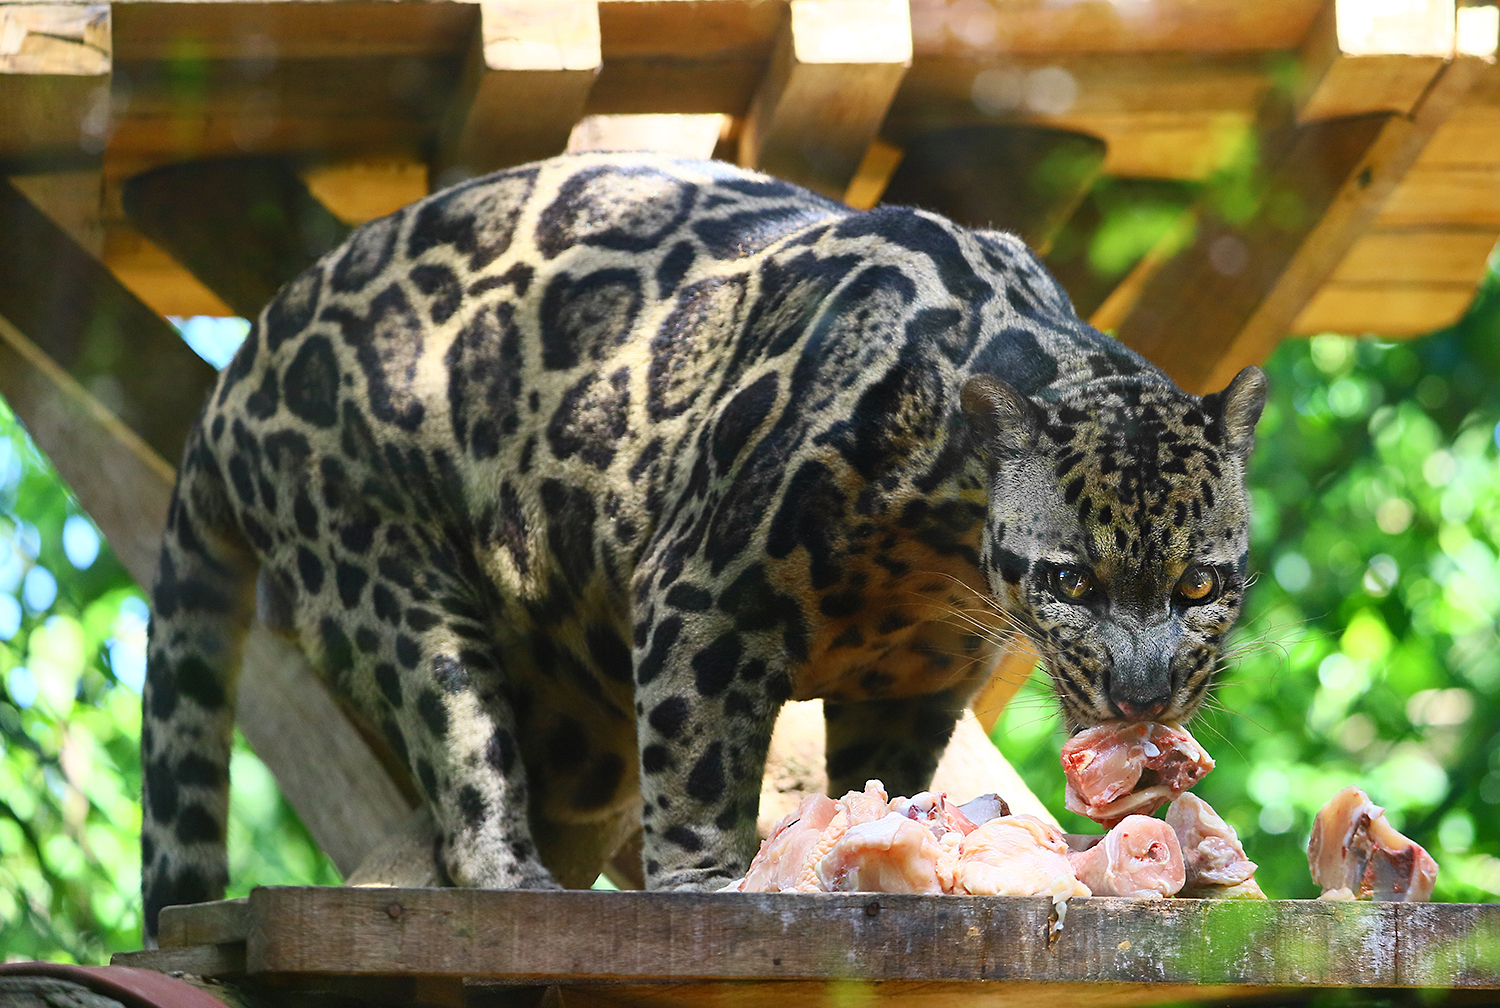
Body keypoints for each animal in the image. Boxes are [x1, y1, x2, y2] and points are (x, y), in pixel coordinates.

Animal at [140, 151, 1267, 937]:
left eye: (1199, 585)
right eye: (1071, 578)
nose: (1142, 695)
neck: (944, 550)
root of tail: (237, 373)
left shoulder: (912, 687)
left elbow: (888, 782)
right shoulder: (707, 595)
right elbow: (698, 767)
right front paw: (713, 882)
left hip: (578, 731)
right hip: (392, 585)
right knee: (466, 767)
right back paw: (519, 881)